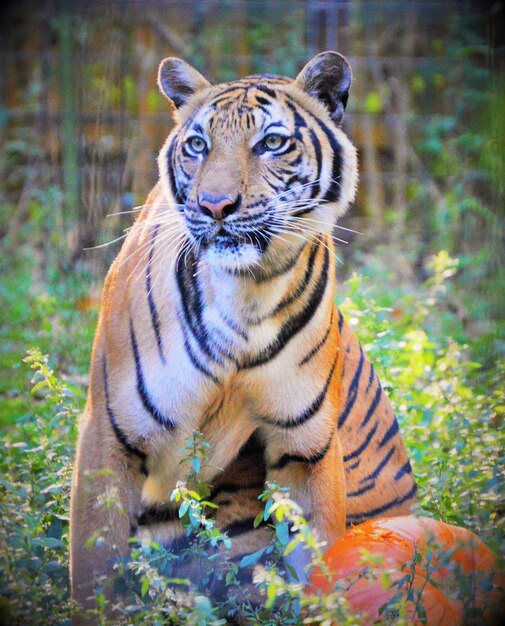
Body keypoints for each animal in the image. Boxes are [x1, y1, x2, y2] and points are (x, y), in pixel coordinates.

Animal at [71, 50, 418, 620]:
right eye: (198, 145)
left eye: (272, 143)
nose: (215, 206)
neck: (247, 294)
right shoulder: (111, 437)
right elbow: (95, 570)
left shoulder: (306, 449)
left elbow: (319, 560)